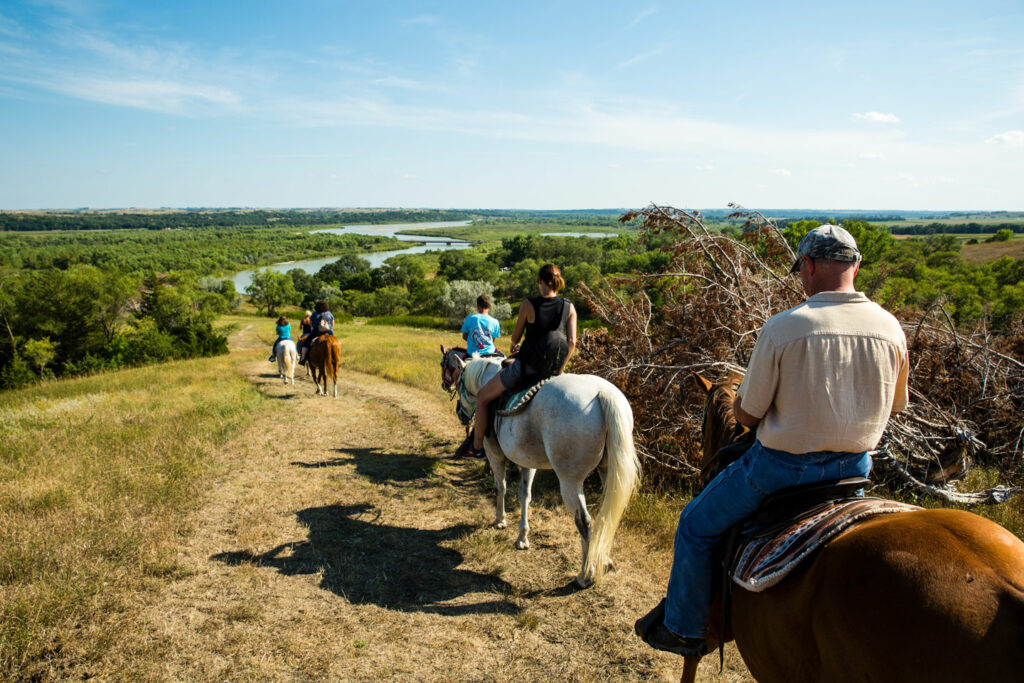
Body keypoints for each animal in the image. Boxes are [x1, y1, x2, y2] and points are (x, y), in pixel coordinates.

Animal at [446, 352, 638, 589]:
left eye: (460, 382)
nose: (460, 414)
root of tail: (602, 393)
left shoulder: (494, 454)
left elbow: (500, 487)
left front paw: (500, 520)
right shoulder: (527, 461)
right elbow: (525, 496)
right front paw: (522, 537)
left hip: (570, 481)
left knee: (584, 521)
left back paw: (585, 575)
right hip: (608, 472)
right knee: (609, 515)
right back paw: (604, 558)